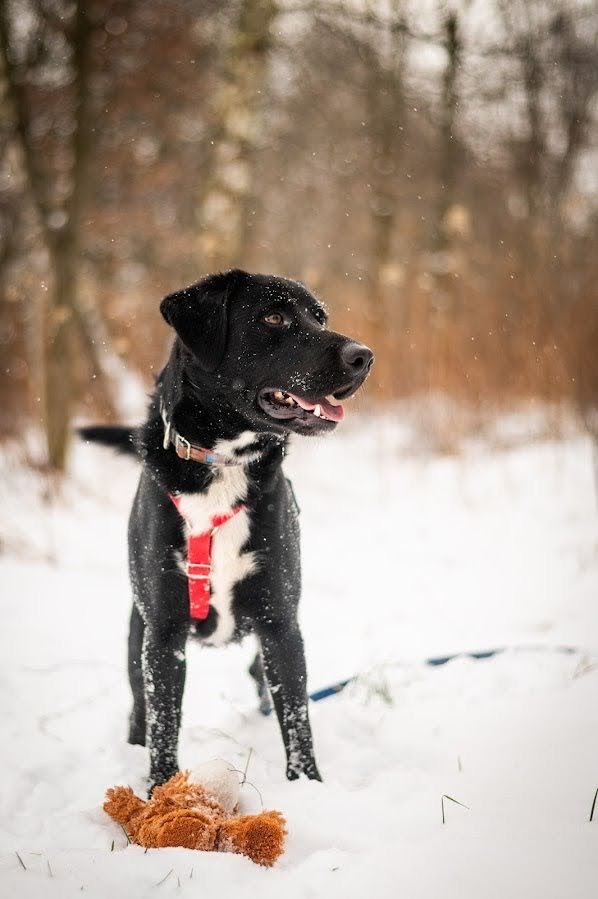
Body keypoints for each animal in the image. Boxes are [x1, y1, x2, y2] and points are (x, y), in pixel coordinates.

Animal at [82, 270, 372, 792]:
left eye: (320, 317)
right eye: (273, 317)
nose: (364, 356)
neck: (225, 464)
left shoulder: (281, 625)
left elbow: (296, 718)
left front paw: (308, 786)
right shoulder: (163, 635)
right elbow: (164, 723)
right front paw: (160, 793)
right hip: (137, 634)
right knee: (139, 702)